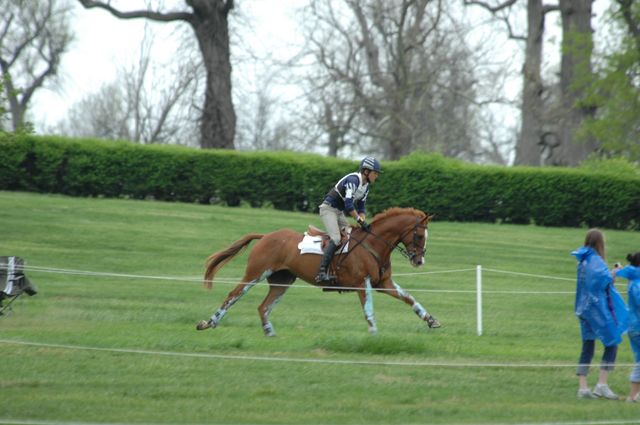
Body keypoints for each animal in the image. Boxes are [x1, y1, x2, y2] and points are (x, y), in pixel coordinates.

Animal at [196, 207, 440, 336]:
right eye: (419, 235)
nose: (419, 261)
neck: (374, 244)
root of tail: (265, 236)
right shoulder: (362, 284)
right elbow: (368, 310)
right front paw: (374, 334)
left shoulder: (383, 283)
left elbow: (410, 299)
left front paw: (431, 320)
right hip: (255, 273)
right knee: (233, 295)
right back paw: (208, 323)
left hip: (283, 280)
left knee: (264, 306)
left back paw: (270, 332)